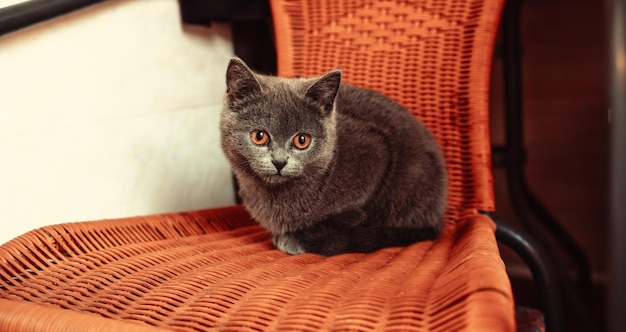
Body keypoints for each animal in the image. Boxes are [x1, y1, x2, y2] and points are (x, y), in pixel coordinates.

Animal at [218, 57, 444, 255]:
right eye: (259, 136)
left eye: (302, 140)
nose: (279, 162)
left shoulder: (374, 150)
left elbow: (348, 215)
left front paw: (296, 238)